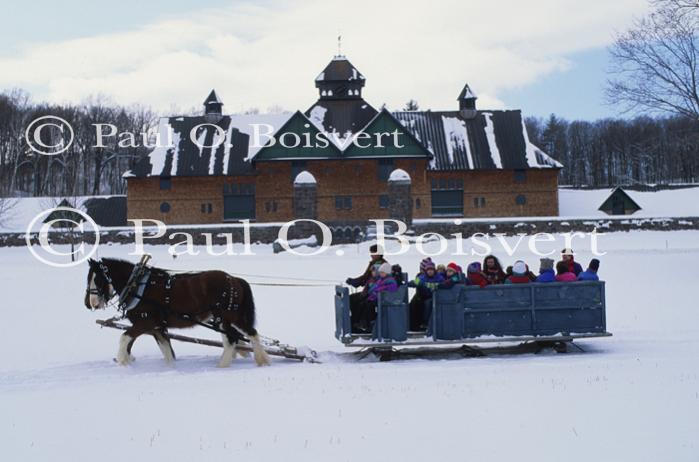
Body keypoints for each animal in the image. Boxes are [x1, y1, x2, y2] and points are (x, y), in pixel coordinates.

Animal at [84, 256, 270, 368]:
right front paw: (170, 367)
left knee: (249, 334)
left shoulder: (145, 323)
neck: (136, 286)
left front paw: (123, 361)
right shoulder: (157, 328)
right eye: (88, 279)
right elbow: (166, 350)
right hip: (222, 319)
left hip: (230, 316)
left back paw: (258, 360)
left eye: (97, 279)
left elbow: (125, 337)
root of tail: (234, 279)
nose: (89, 303)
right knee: (231, 339)